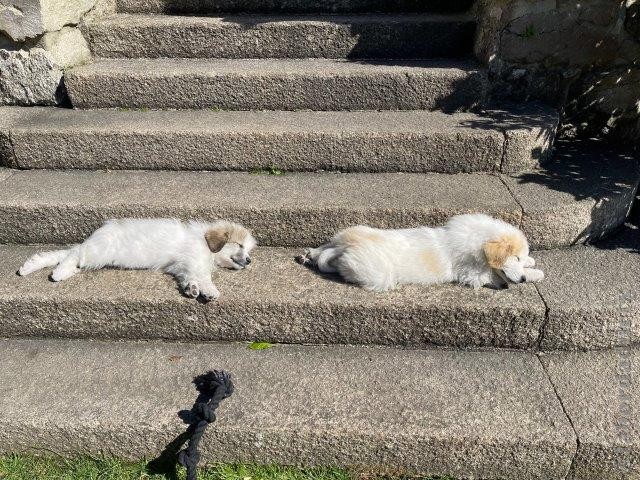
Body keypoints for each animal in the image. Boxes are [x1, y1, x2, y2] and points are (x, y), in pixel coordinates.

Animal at [18, 219, 256, 302]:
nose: (249, 260)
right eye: (240, 245)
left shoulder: (182, 266)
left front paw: (192, 288)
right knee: (74, 254)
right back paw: (60, 272)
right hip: (99, 252)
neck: (205, 243)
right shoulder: (195, 259)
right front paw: (209, 290)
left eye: (248, 248)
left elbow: (188, 277)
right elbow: (204, 277)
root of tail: (96, 235)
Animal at [298, 215, 544, 292]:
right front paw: (535, 273)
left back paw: (308, 255)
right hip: (378, 274)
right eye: (514, 257)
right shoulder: (471, 274)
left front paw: (531, 263)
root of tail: (349, 246)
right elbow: (491, 274)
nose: (522, 280)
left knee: (324, 249)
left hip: (348, 233)